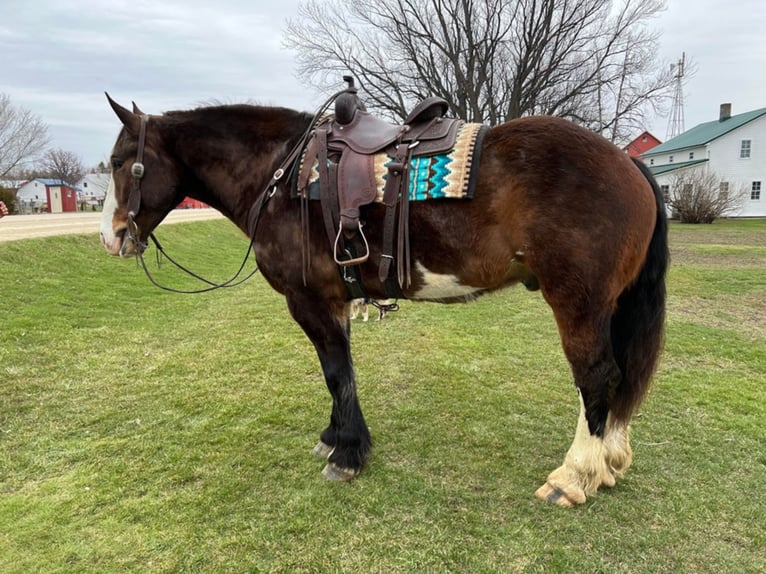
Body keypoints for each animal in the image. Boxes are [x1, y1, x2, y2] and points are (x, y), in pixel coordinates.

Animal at [100, 91, 664, 508]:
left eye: (121, 162)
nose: (111, 237)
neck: (283, 175)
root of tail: (627, 162)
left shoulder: (308, 300)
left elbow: (335, 371)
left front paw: (347, 454)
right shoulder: (334, 300)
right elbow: (339, 370)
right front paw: (335, 437)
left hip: (578, 301)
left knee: (597, 376)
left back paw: (574, 476)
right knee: (618, 378)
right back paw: (609, 463)